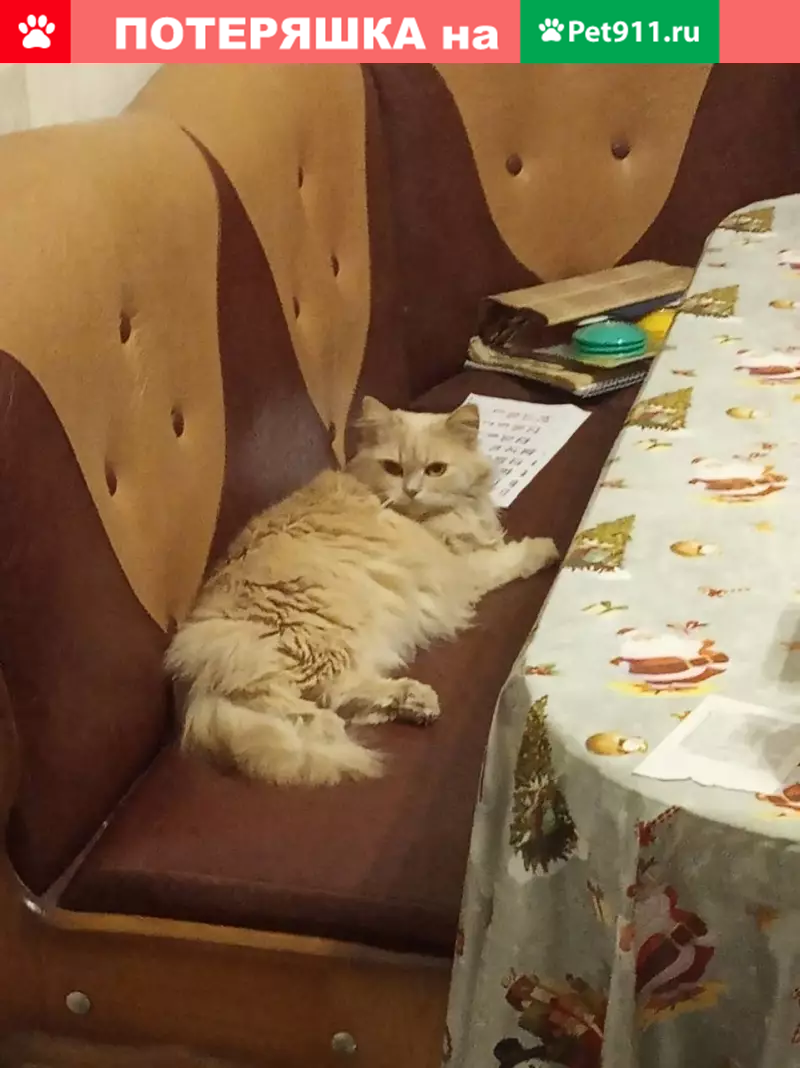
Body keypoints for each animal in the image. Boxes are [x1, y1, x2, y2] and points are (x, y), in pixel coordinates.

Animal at [165, 397, 559, 786]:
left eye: (435, 470)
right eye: (393, 468)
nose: (411, 490)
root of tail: (192, 684)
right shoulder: (459, 570)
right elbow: (506, 558)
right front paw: (546, 549)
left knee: (340, 699)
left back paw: (414, 703)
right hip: (320, 638)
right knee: (307, 702)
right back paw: (360, 715)